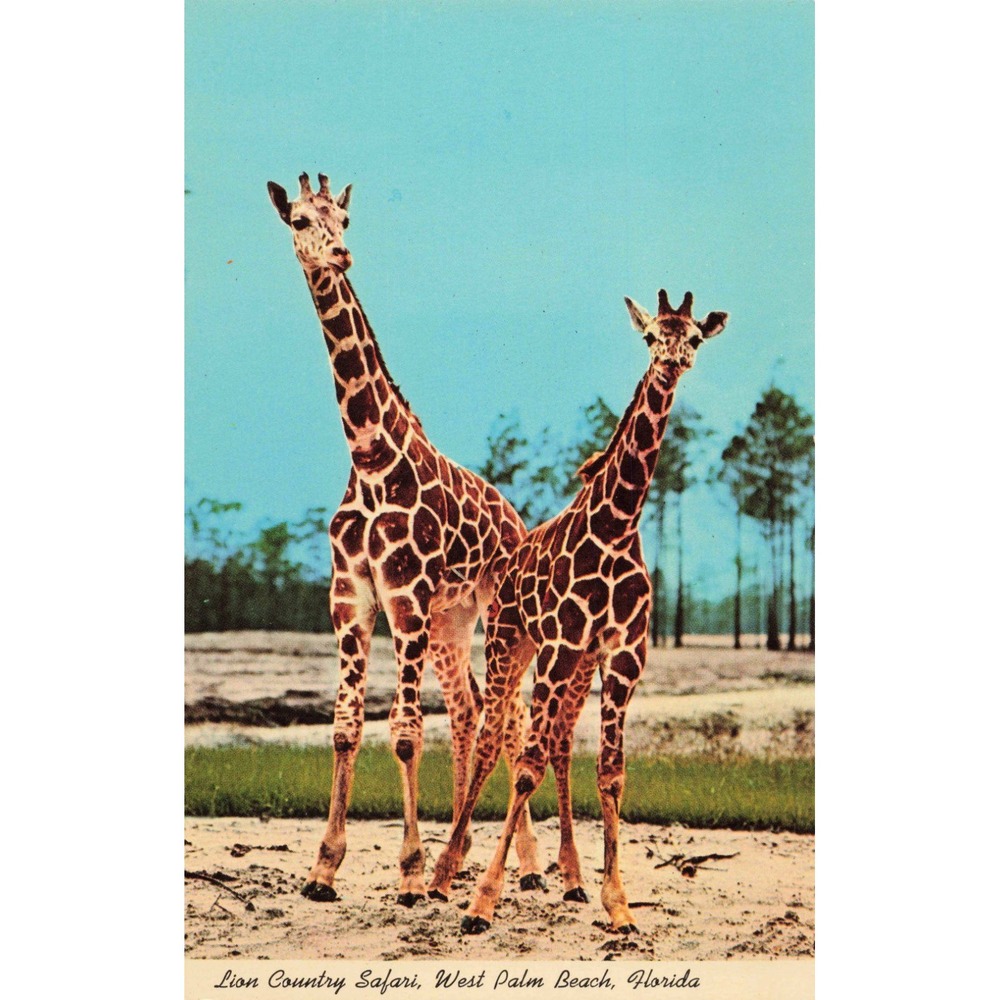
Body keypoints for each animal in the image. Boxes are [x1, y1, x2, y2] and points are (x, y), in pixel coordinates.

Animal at [267, 172, 544, 906]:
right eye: (299, 219)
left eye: (345, 219)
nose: (339, 255)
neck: (368, 458)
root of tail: (518, 522)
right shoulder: (351, 597)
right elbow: (345, 728)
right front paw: (324, 867)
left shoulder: (406, 597)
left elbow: (407, 733)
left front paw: (413, 872)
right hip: (452, 622)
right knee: (472, 709)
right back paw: (463, 854)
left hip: (496, 616)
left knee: (509, 718)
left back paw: (529, 867)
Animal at [429, 286, 727, 933]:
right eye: (651, 335)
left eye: (694, 336)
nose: (672, 363)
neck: (617, 526)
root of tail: (506, 561)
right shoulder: (562, 645)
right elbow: (526, 763)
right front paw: (482, 901)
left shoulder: (621, 654)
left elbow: (610, 771)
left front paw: (618, 904)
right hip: (510, 644)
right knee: (492, 738)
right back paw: (441, 876)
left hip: (561, 662)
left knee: (559, 742)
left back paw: (569, 878)